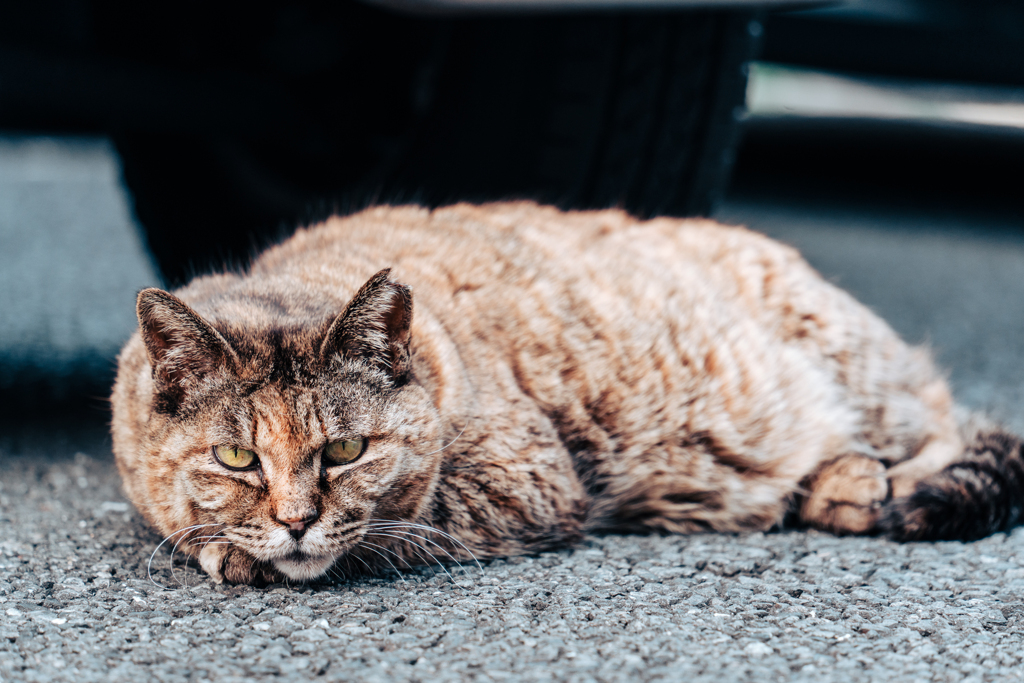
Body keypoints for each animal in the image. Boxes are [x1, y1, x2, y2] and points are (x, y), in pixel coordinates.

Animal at [110, 202, 1024, 589]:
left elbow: (394, 525)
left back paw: (871, 483)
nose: (296, 519)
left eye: (346, 450)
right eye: (237, 455)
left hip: (855, 363)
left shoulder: (524, 480)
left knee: (948, 417)